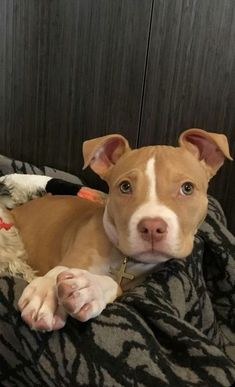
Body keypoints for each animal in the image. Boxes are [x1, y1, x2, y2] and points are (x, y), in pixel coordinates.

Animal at [0, 129, 232, 332]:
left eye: (187, 188)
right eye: (125, 187)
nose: (152, 226)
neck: (123, 260)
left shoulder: (134, 285)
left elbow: (113, 285)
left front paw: (90, 288)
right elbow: (61, 268)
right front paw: (47, 293)